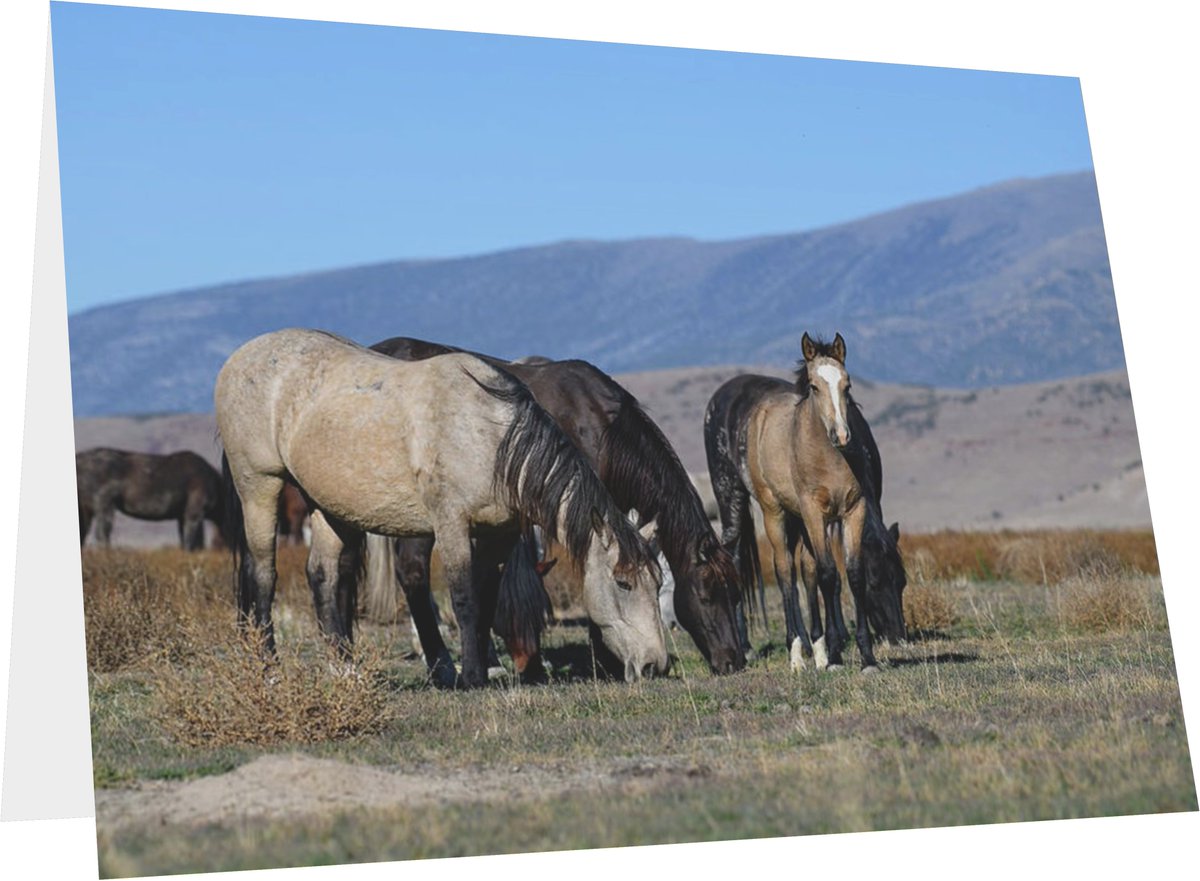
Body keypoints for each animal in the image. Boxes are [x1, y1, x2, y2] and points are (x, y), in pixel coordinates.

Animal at [76, 448, 226, 550]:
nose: (218, 545)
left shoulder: (182, 516)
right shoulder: (194, 512)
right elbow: (192, 542)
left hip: (87, 509)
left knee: (85, 533)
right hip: (104, 505)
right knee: (102, 534)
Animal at [215, 328, 668, 688]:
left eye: (658, 582)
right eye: (622, 583)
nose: (654, 665)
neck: (488, 436)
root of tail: (238, 358)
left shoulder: (497, 535)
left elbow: (485, 599)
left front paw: (482, 668)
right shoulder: (451, 525)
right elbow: (464, 597)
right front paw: (471, 677)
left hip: (327, 507)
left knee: (322, 576)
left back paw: (345, 669)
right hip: (259, 486)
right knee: (262, 574)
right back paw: (268, 669)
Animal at [369, 336, 747, 678]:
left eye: (735, 594)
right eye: (706, 594)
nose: (734, 661)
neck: (601, 428)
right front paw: (605, 661)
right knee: (412, 573)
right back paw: (441, 665)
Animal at [704, 333, 906, 673]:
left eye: (847, 385)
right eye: (813, 386)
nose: (898, 638)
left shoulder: (852, 511)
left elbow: (848, 573)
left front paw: (863, 657)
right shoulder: (814, 513)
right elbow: (828, 575)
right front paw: (835, 655)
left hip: (796, 519)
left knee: (801, 569)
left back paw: (814, 648)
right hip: (750, 505)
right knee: (774, 568)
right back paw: (776, 651)